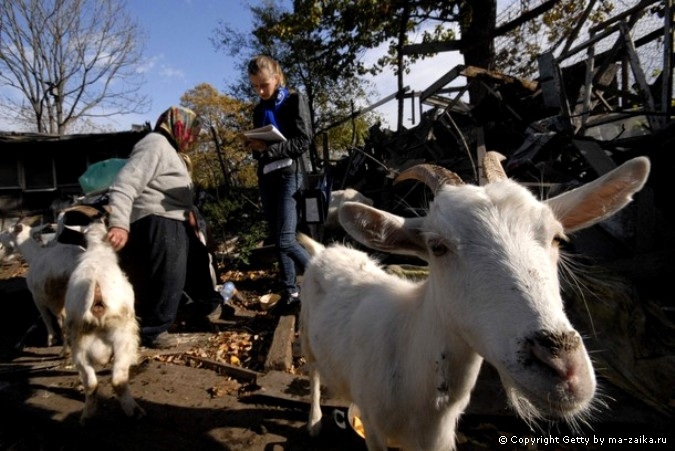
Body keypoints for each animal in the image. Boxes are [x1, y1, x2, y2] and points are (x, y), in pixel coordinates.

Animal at [0, 218, 84, 350]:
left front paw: (51, 338)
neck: (33, 255)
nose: (0, 236)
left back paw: (66, 348)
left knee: (64, 320)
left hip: (56, 296)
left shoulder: (37, 297)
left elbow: (46, 317)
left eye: (8, 231)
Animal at [64, 221, 145, 426]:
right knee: (118, 380)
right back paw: (135, 412)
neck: (97, 251)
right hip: (123, 337)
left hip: (79, 346)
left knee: (90, 383)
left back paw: (87, 416)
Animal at [298, 156, 652, 451]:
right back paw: (314, 422)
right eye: (437, 247)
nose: (564, 369)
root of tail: (324, 250)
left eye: (556, 238)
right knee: (313, 372)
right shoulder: (374, 431)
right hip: (307, 335)